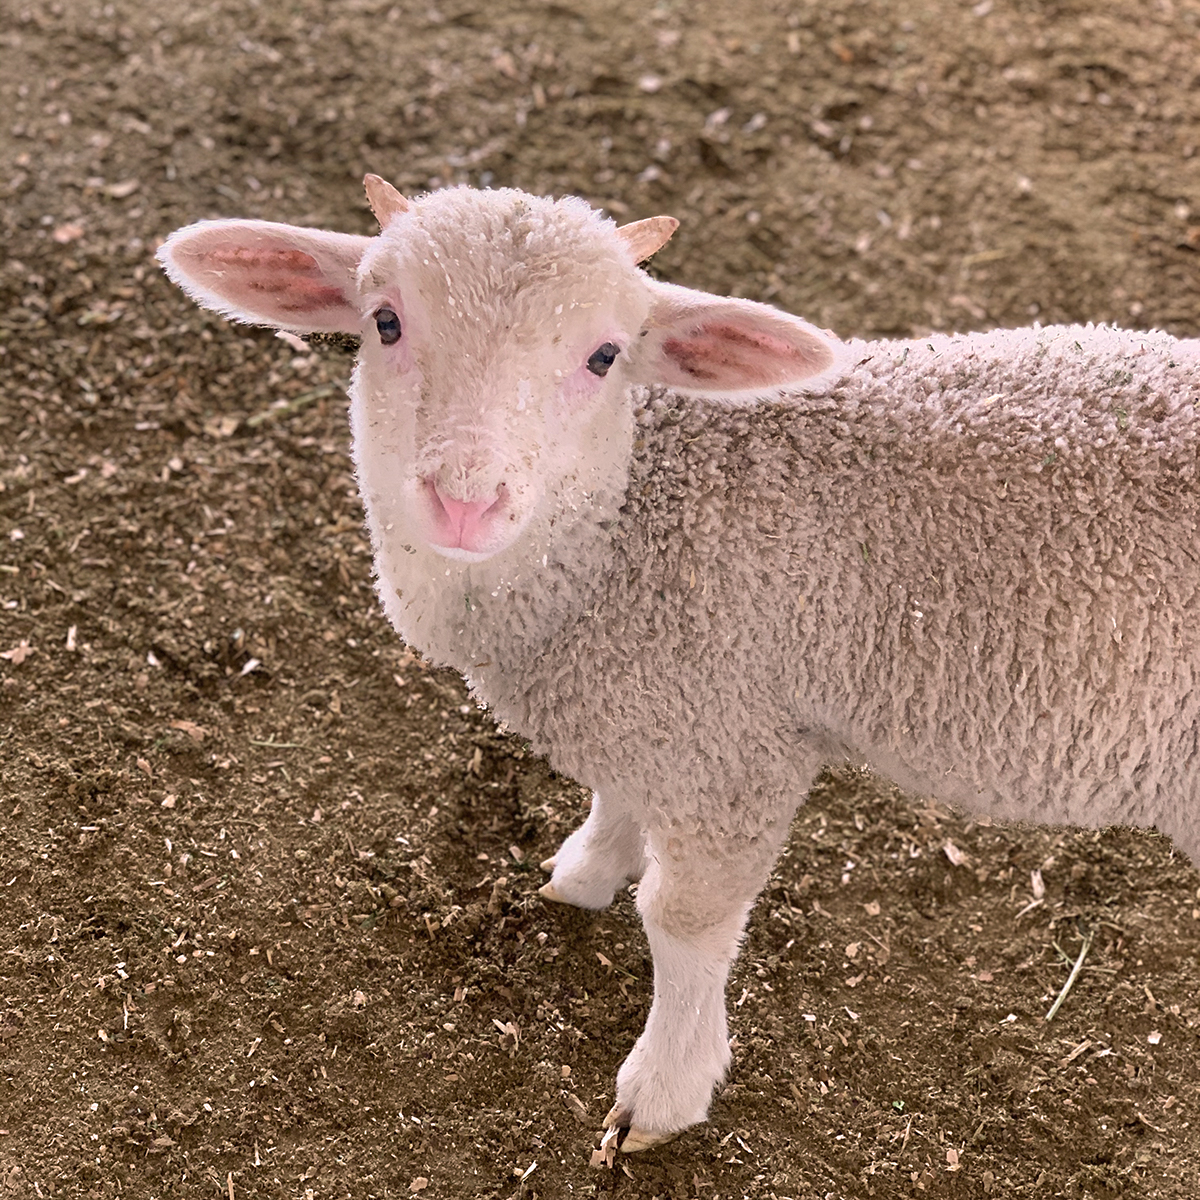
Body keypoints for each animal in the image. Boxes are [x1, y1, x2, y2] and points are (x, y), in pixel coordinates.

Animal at [159, 176, 1200, 1153]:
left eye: (605, 356)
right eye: (385, 321)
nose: (465, 501)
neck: (627, 525)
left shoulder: (736, 743)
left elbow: (685, 922)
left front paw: (663, 1090)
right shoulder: (655, 704)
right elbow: (617, 799)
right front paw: (584, 870)